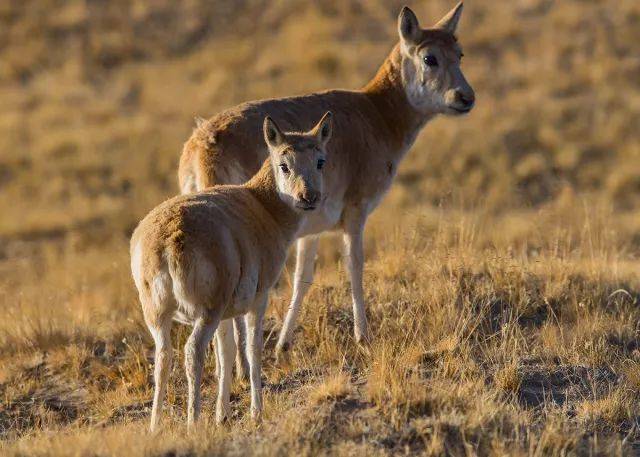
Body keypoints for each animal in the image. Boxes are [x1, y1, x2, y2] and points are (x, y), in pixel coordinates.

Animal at [131, 112, 336, 430]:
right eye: (284, 164)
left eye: (320, 161)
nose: (309, 197)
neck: (261, 205)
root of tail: (167, 238)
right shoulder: (258, 301)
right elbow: (252, 350)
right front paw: (256, 412)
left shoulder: (226, 315)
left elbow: (225, 354)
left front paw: (222, 414)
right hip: (206, 313)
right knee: (192, 351)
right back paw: (192, 422)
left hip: (158, 316)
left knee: (164, 358)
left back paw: (155, 428)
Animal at [178, 2, 472, 366]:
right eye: (430, 57)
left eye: (460, 53)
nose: (466, 97)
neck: (376, 114)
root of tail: (202, 146)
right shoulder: (356, 212)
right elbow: (355, 266)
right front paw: (363, 337)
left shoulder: (311, 229)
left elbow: (302, 278)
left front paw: (284, 344)